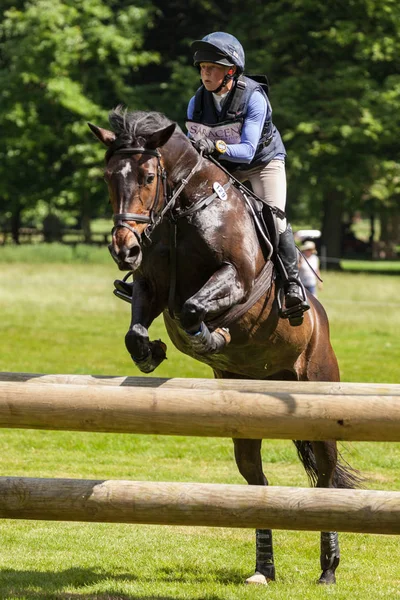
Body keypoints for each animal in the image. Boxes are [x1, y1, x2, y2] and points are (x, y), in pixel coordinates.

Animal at [89, 108, 360, 584]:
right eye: (108, 177)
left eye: (147, 176)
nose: (124, 250)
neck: (181, 211)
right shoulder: (150, 284)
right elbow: (136, 330)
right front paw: (152, 353)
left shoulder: (236, 277)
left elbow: (195, 307)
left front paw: (208, 337)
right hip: (246, 421)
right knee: (258, 483)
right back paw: (263, 569)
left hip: (319, 391)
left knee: (326, 477)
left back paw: (328, 568)